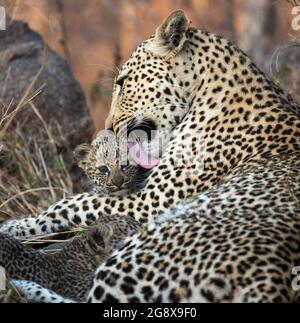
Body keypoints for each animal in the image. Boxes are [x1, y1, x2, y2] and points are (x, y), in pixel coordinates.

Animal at [0, 10, 300, 304]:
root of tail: (269, 279)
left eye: (123, 83)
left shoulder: (148, 203)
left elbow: (71, 204)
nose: (108, 126)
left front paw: (17, 225)